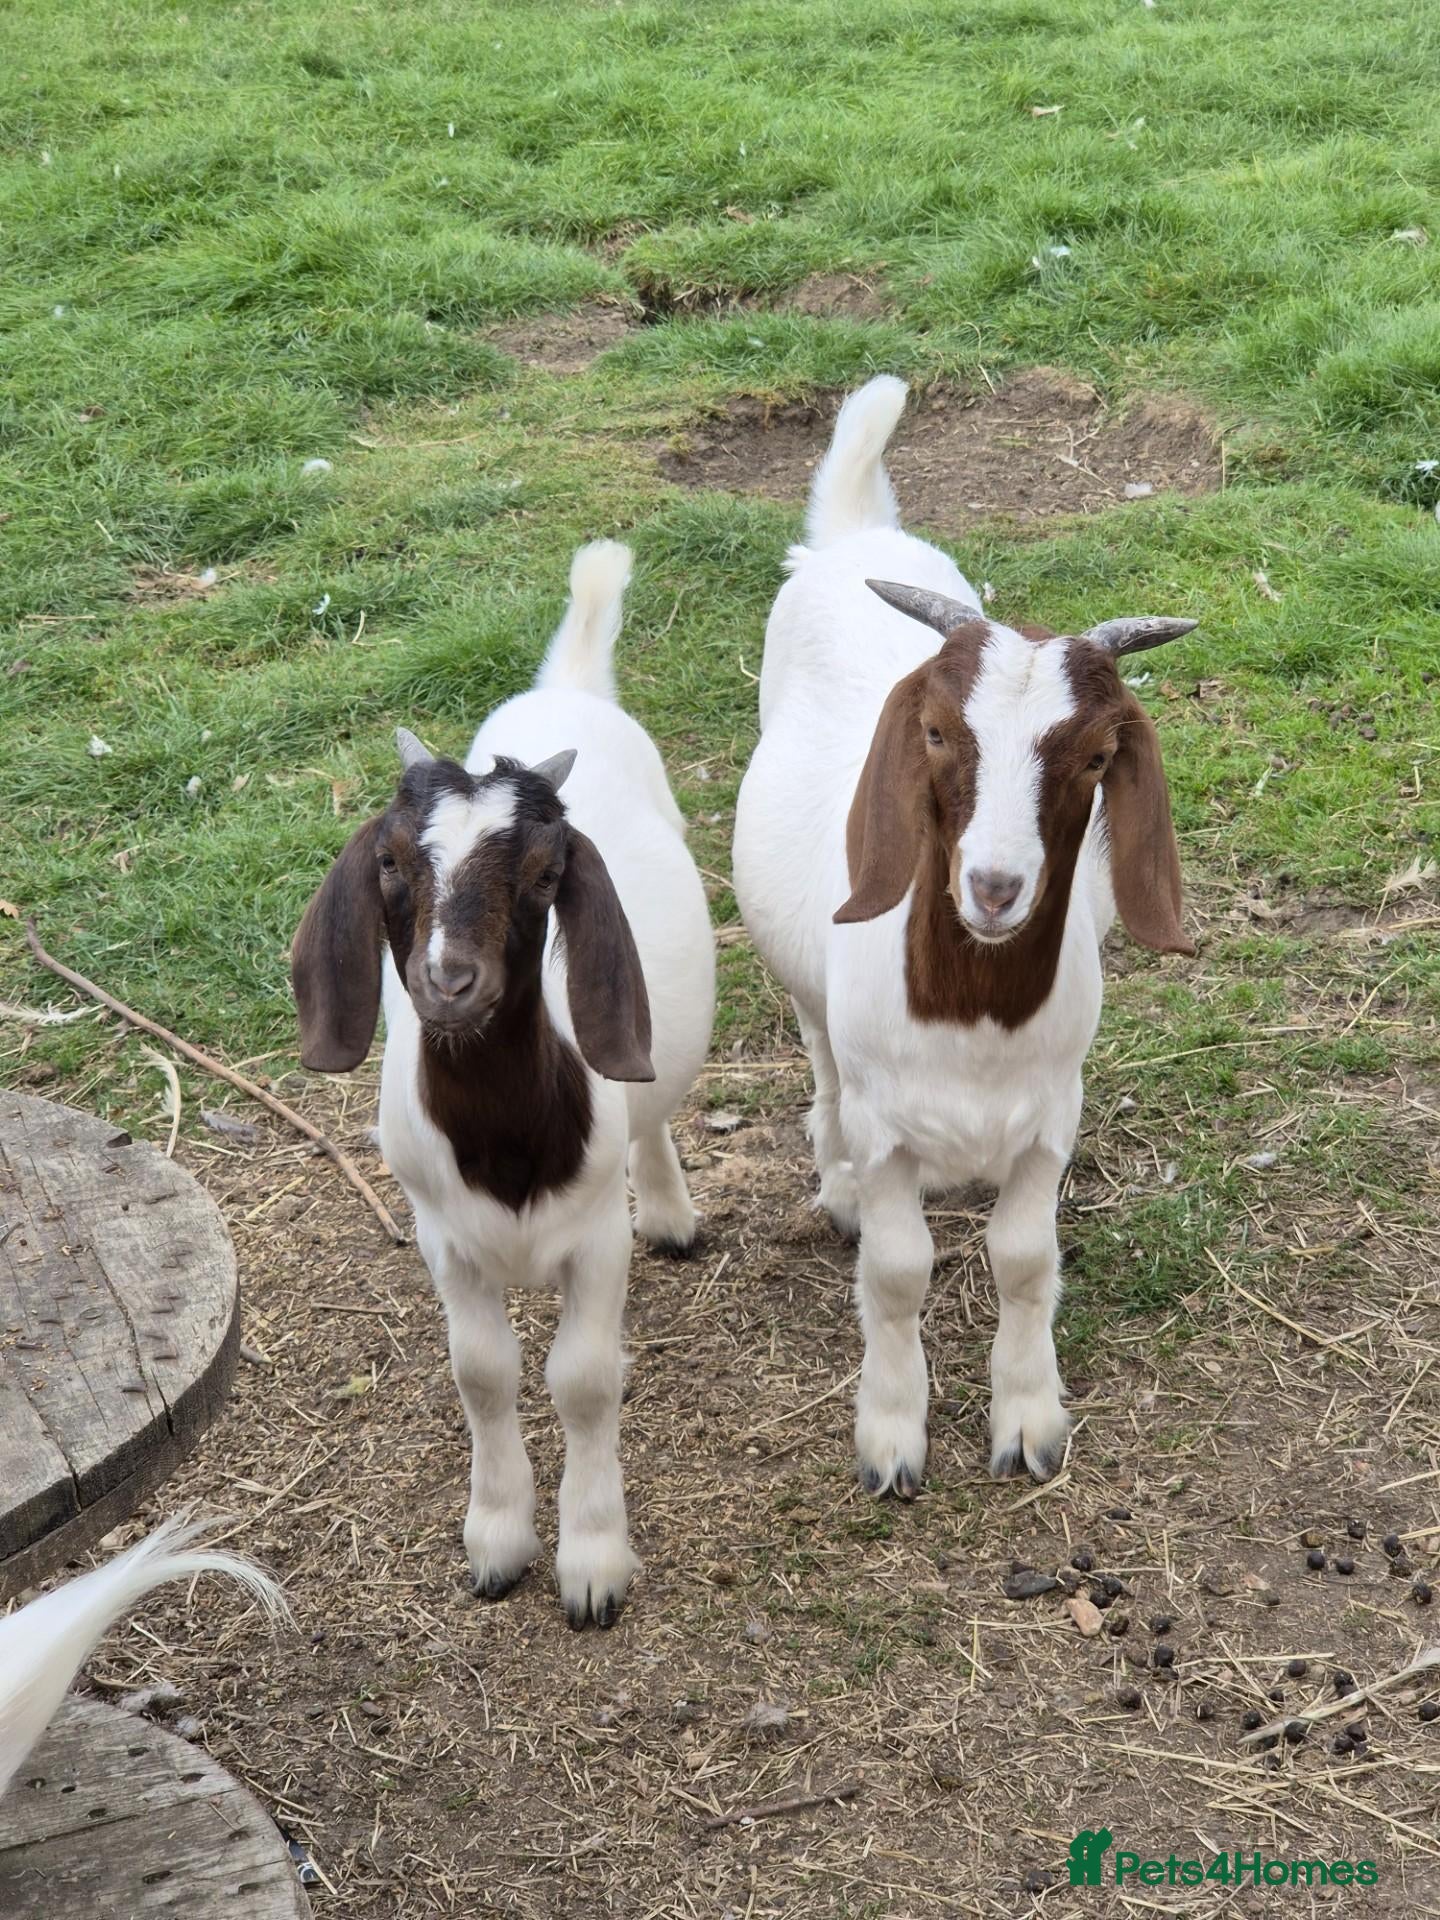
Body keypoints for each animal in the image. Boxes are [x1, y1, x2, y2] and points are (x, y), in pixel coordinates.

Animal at [292, 541, 715, 1626]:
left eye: (544, 873)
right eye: (392, 860)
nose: (449, 982)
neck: (506, 1137)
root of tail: (569, 685)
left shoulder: (596, 1239)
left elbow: (583, 1378)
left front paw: (593, 1560)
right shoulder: (445, 1240)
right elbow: (482, 1373)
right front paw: (496, 1539)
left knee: (650, 1101)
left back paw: (673, 1212)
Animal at [733, 377, 1195, 1491]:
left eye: (1097, 753)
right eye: (937, 733)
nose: (992, 886)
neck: (973, 1011)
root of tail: (855, 534)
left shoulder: (1052, 1115)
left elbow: (1025, 1261)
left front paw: (1029, 1419)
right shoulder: (887, 1125)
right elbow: (898, 1270)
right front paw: (891, 1435)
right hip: (813, 1009)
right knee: (818, 1064)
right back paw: (835, 1185)